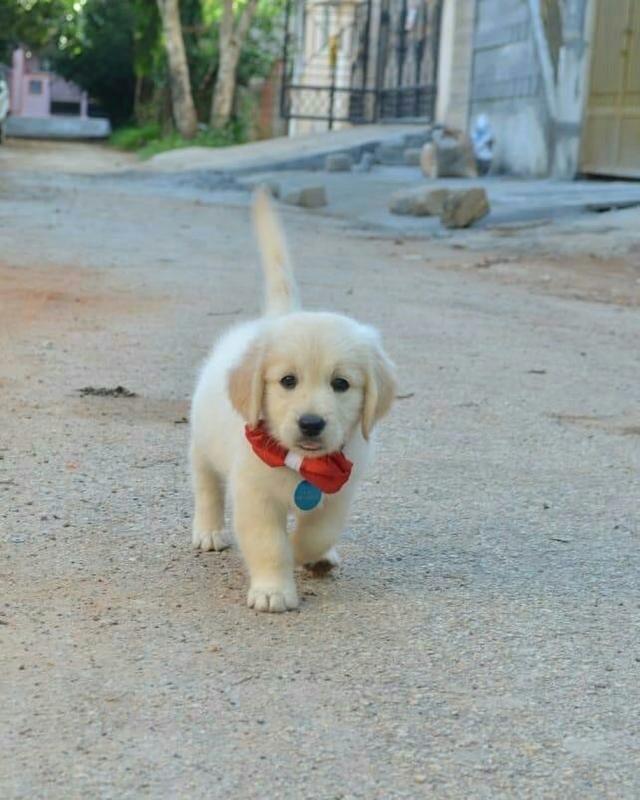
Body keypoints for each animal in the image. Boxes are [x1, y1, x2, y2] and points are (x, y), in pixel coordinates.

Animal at [189, 189, 396, 612]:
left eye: (341, 383)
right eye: (287, 381)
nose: (311, 423)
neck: (303, 464)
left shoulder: (340, 492)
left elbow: (318, 531)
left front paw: (309, 554)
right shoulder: (254, 495)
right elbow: (270, 544)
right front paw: (273, 590)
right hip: (202, 441)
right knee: (206, 485)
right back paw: (209, 530)